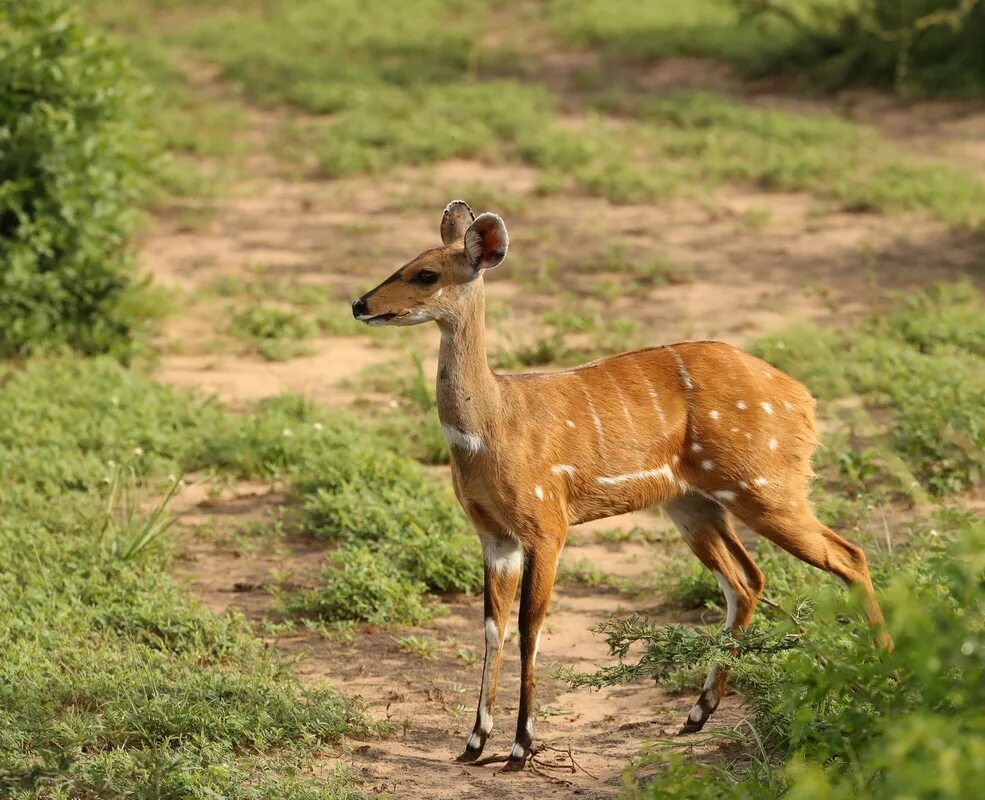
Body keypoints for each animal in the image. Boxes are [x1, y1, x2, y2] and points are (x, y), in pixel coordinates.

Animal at [350, 203, 888, 772]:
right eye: (405, 262)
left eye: (426, 274)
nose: (360, 304)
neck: (492, 423)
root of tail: (804, 398)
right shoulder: (494, 536)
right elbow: (494, 629)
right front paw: (472, 745)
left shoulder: (547, 526)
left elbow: (530, 629)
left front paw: (520, 749)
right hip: (693, 505)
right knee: (748, 580)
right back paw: (695, 715)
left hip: (767, 488)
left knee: (848, 555)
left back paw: (890, 670)